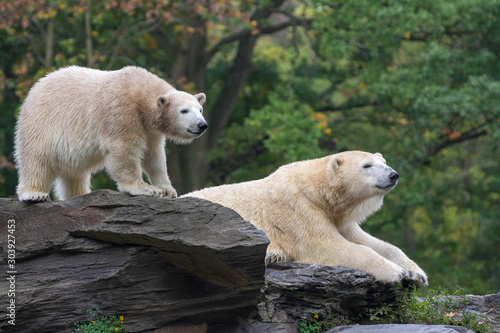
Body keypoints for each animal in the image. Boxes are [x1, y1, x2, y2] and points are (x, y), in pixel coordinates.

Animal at [14, 64, 207, 200]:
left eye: (200, 109)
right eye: (184, 111)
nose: (202, 125)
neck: (139, 89)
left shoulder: (150, 130)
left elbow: (154, 156)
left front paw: (168, 190)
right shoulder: (121, 110)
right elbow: (123, 149)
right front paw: (145, 188)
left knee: (74, 173)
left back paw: (79, 194)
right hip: (41, 124)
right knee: (36, 159)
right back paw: (34, 193)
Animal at [186, 150, 428, 282]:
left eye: (384, 162)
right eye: (367, 165)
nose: (393, 174)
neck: (316, 189)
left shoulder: (339, 218)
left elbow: (375, 243)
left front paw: (416, 272)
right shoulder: (300, 209)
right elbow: (327, 246)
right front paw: (397, 272)